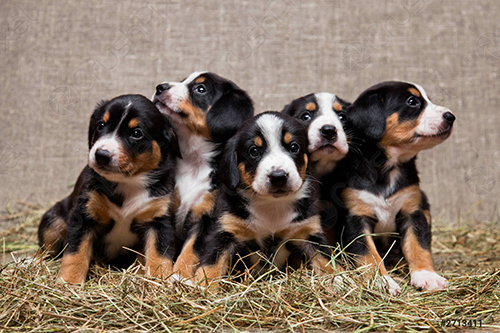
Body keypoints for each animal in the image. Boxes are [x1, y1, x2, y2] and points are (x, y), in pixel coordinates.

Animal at [39, 94, 180, 282]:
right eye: (101, 125)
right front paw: (68, 282)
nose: (101, 155)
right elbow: (75, 253)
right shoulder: (84, 215)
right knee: (45, 250)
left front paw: (157, 282)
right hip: (54, 220)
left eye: (136, 133)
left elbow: (158, 257)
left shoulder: (158, 220)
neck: (128, 183)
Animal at [152, 71, 254, 276]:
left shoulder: (207, 220)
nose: (160, 87)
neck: (194, 162)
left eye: (200, 89)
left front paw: (180, 276)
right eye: (182, 81)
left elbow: (190, 252)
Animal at [193, 111, 334, 286]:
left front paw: (338, 280)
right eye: (254, 151)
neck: (272, 204)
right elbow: (211, 266)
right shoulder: (225, 232)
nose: (278, 176)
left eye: (294, 147)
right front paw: (201, 288)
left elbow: (326, 261)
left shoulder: (308, 231)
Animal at [340, 81, 454, 294]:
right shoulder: (356, 218)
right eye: (412, 101)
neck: (388, 168)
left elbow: (418, 246)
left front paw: (427, 276)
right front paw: (381, 281)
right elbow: (369, 255)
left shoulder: (413, 212)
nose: (451, 117)